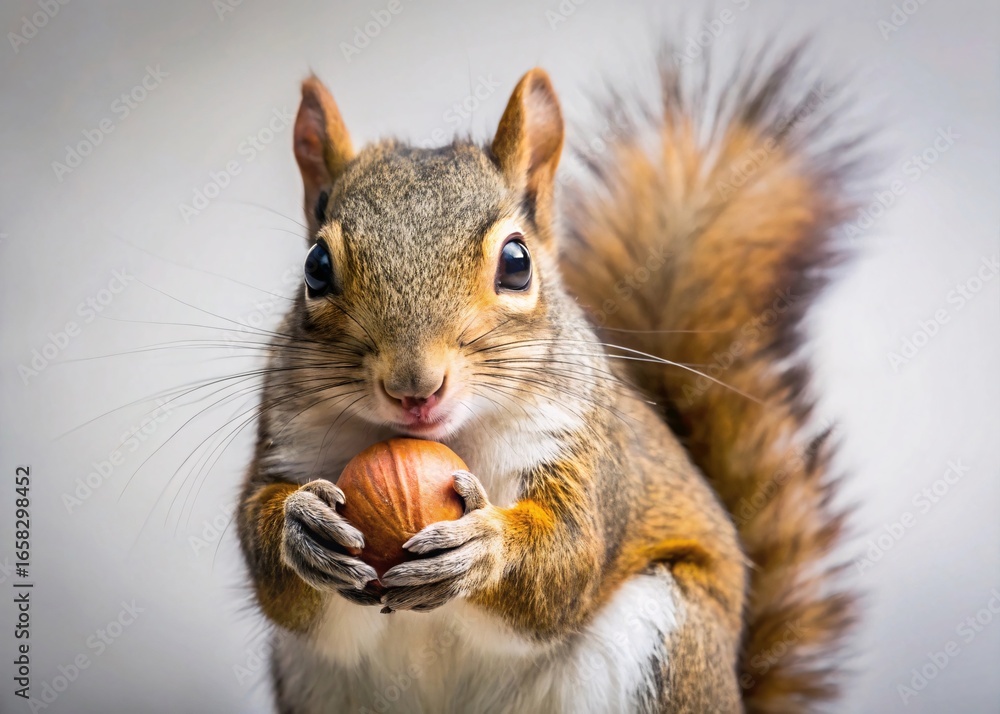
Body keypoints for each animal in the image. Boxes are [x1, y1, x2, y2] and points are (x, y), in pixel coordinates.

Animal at [236, 44, 856, 714]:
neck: (452, 436)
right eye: (315, 267)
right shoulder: (287, 435)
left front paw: (484, 547)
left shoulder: (581, 448)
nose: (414, 388)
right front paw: (301, 527)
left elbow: (568, 559)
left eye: (517, 261)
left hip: (666, 639)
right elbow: (265, 554)